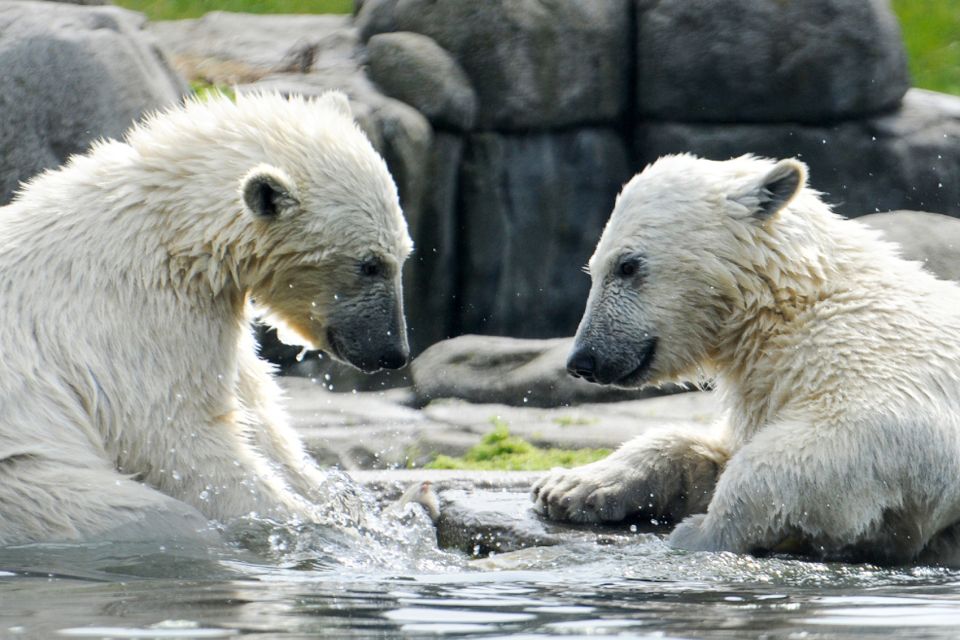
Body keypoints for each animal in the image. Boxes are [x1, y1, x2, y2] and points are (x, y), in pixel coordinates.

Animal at [0, 91, 410, 544]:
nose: (393, 351)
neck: (173, 232)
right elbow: (179, 438)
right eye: (369, 264)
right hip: (29, 481)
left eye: (404, 255)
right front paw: (309, 522)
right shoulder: (138, 313)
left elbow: (260, 414)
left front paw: (346, 506)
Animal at [532, 154, 960, 564]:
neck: (787, 306)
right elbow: (712, 446)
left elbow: (840, 438)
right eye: (593, 267)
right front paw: (567, 487)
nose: (583, 360)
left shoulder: (880, 356)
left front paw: (699, 532)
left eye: (627, 265)